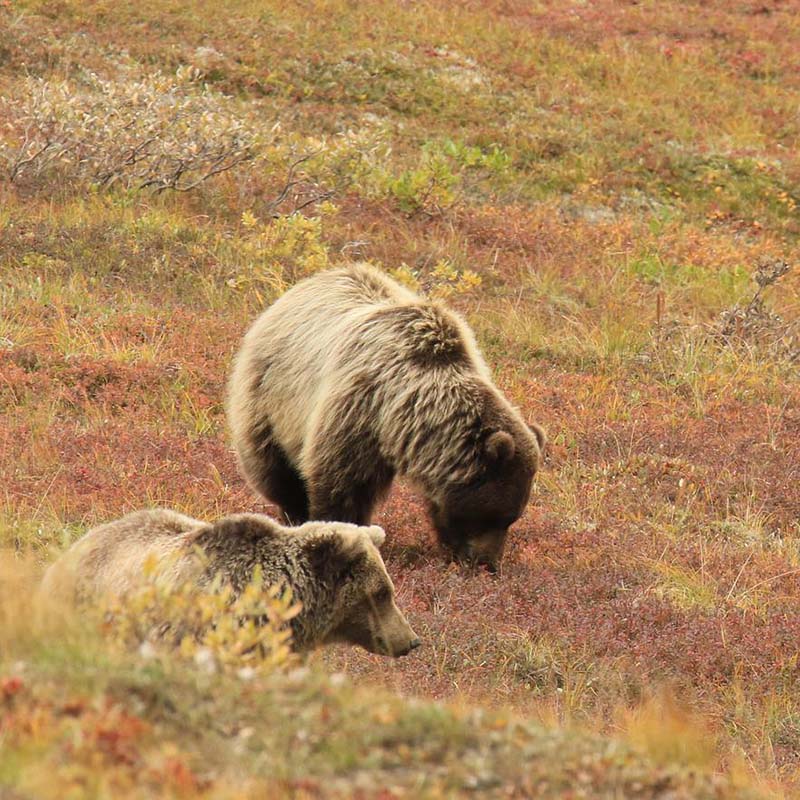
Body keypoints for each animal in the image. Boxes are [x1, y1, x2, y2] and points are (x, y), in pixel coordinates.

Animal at [228, 262, 548, 568]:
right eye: (495, 516)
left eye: (512, 517)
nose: (488, 563)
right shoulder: (357, 409)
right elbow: (340, 485)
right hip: (268, 395)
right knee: (273, 467)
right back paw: (291, 513)